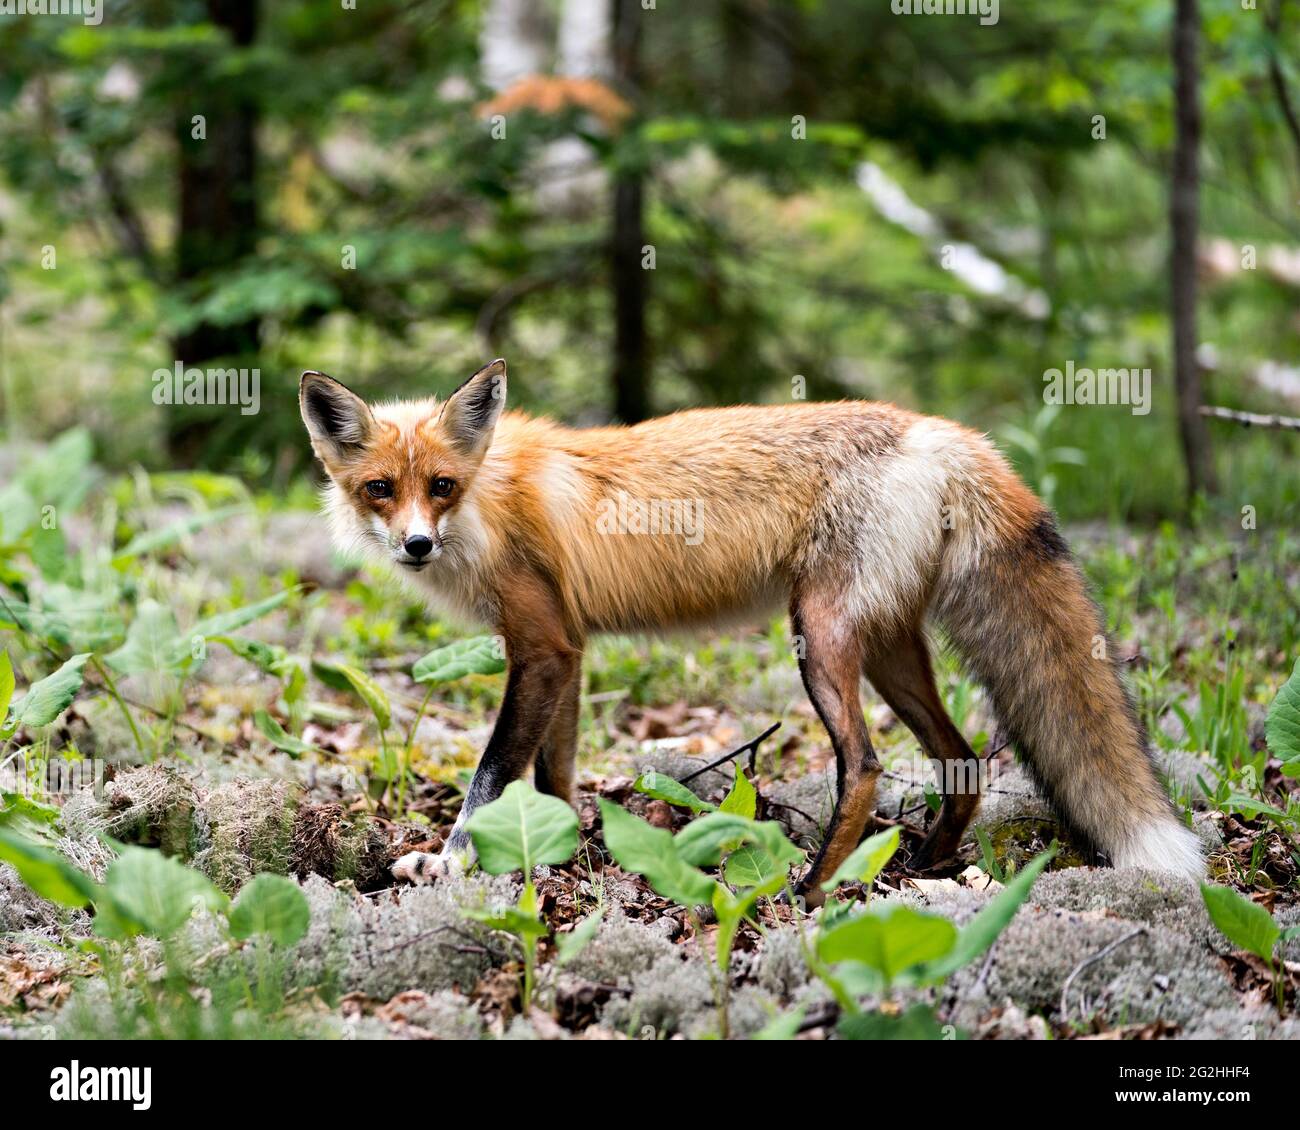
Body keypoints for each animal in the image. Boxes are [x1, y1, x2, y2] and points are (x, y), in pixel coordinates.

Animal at [299, 353, 1201, 899]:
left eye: (441, 486)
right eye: (380, 489)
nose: (415, 545)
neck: (491, 498)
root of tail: (946, 434)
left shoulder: (543, 646)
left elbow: (489, 779)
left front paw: (450, 864)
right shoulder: (568, 647)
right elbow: (554, 776)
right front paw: (560, 856)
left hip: (821, 634)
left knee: (865, 765)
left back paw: (813, 892)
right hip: (889, 649)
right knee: (965, 760)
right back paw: (925, 865)